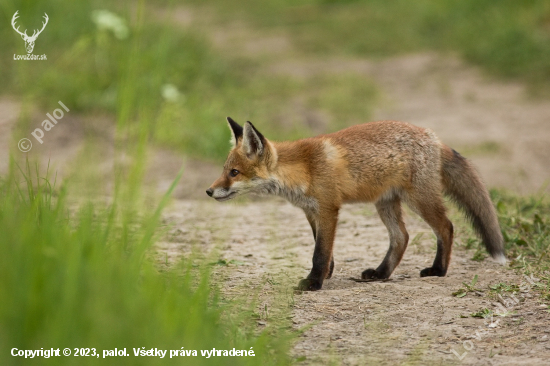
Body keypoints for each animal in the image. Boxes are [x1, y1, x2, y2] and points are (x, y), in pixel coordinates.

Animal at [208, 118, 508, 290]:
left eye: (234, 173)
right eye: (225, 170)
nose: (209, 191)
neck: (304, 168)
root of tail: (433, 136)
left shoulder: (328, 208)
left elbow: (320, 251)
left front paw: (314, 282)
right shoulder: (311, 212)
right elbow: (323, 249)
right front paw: (326, 274)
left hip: (419, 200)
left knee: (446, 227)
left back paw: (438, 270)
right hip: (385, 204)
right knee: (402, 236)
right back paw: (381, 273)